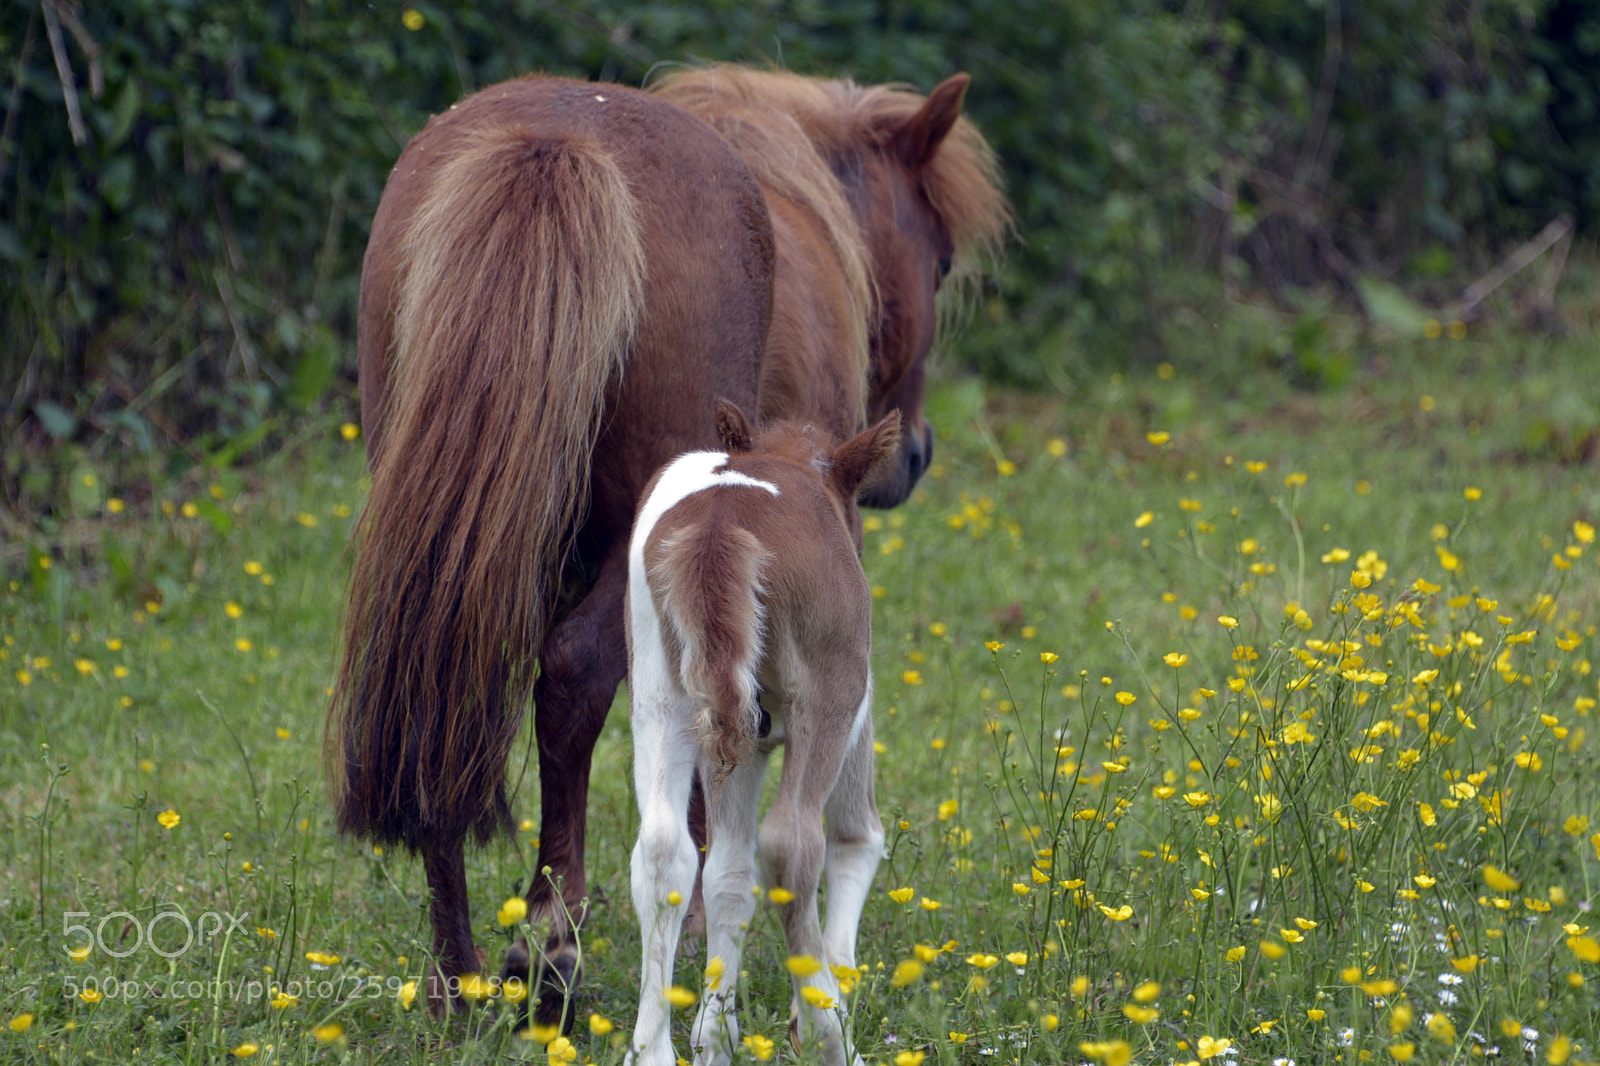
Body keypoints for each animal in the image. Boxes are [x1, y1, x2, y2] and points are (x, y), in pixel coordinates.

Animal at [625, 401, 899, 1066]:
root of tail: (720, 522)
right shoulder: (855, 698)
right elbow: (858, 834)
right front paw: (827, 1001)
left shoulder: (737, 741)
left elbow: (727, 873)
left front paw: (713, 1035)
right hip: (825, 695)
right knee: (793, 839)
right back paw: (831, 1034)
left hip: (663, 696)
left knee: (663, 851)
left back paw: (652, 1048)